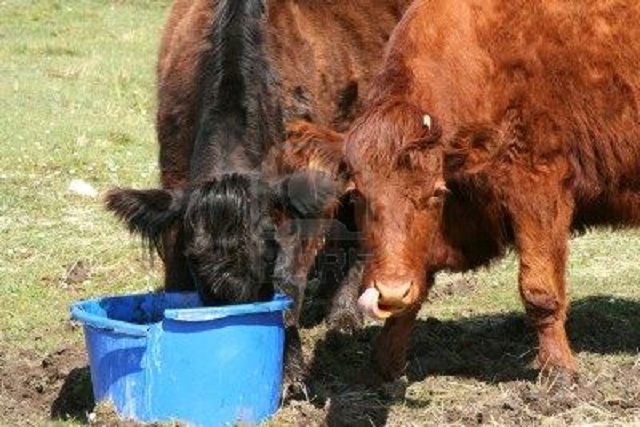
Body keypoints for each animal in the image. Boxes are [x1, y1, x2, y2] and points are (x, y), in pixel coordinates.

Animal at [324, 0, 640, 382]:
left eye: (436, 192)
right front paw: (385, 363)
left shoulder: (537, 185)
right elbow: (417, 286)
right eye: (357, 195)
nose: (391, 291)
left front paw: (559, 370)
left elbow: (539, 289)